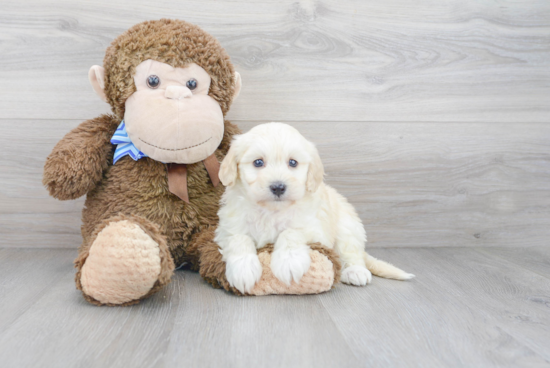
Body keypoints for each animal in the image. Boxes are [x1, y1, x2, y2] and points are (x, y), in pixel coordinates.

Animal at [216, 123, 414, 294]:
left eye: (293, 163)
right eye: (258, 162)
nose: (278, 187)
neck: (271, 211)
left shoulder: (315, 228)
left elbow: (291, 232)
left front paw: (289, 261)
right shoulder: (226, 229)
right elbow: (239, 239)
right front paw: (243, 269)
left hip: (348, 226)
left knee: (352, 252)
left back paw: (355, 271)